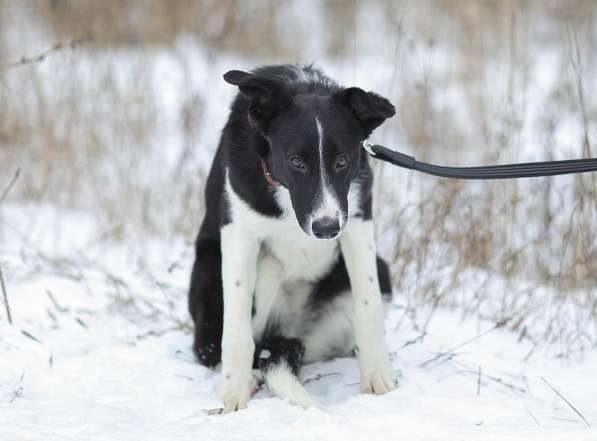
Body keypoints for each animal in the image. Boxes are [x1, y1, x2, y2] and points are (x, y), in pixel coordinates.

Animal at [189, 63, 396, 410]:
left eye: (342, 161)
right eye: (296, 162)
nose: (326, 229)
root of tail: (291, 331)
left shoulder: (356, 221)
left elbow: (369, 306)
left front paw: (379, 382)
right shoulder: (240, 232)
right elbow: (236, 328)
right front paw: (233, 396)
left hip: (377, 271)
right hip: (219, 270)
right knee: (223, 345)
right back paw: (250, 377)